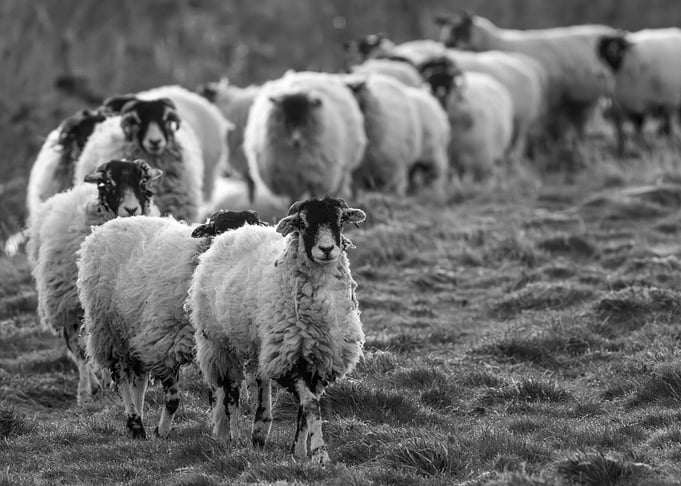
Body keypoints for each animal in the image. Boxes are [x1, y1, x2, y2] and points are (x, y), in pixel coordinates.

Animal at [27, 159, 162, 405]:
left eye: (143, 183)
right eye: (107, 183)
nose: (131, 209)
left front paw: (108, 383)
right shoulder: (70, 307)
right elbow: (80, 350)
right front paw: (85, 392)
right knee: (79, 347)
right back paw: (91, 385)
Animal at [77, 209, 261, 439]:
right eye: (220, 230)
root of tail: (107, 225)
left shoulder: (212, 347)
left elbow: (222, 395)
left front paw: (223, 434)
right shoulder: (164, 346)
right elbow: (174, 400)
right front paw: (161, 431)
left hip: (135, 329)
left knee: (139, 380)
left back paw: (139, 417)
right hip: (108, 328)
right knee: (121, 378)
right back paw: (135, 424)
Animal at [188, 197, 366, 464]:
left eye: (340, 220)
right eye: (302, 223)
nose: (326, 249)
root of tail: (236, 232)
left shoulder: (319, 362)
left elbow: (304, 410)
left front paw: (299, 452)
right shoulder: (290, 359)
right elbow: (311, 406)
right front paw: (320, 455)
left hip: (260, 343)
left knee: (259, 383)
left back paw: (259, 430)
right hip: (219, 341)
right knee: (229, 392)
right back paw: (231, 437)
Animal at [243, 71, 367, 204]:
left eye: (306, 123)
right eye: (286, 123)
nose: (296, 142)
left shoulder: (315, 179)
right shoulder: (289, 181)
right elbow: (293, 199)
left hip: (342, 171)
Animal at [435, 12, 616, 140]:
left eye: (460, 30)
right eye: (446, 31)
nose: (445, 46)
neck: (498, 42)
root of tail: (613, 31)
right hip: (585, 97)